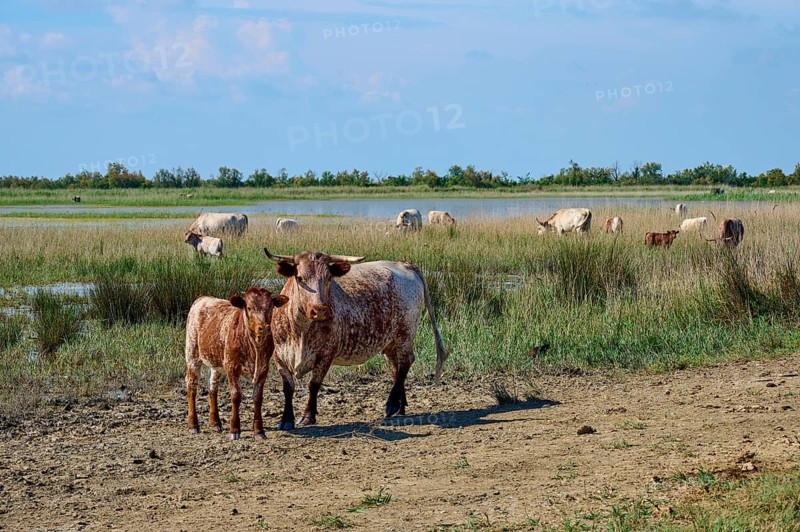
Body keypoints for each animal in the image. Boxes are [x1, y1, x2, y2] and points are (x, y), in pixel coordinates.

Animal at [185, 288, 289, 440]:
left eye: (270, 307)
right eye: (249, 308)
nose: (264, 328)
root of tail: (203, 298)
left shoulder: (263, 369)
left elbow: (258, 398)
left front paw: (259, 431)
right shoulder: (231, 367)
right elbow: (236, 396)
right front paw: (234, 430)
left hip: (216, 361)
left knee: (212, 386)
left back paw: (215, 422)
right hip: (192, 354)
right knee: (192, 385)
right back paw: (193, 425)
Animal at [263, 248, 448, 430]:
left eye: (329, 278)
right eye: (300, 278)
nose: (319, 309)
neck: (300, 329)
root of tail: (404, 264)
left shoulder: (326, 355)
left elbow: (313, 384)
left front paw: (308, 416)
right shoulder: (279, 356)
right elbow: (288, 387)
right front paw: (286, 419)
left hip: (406, 332)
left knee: (405, 362)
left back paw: (392, 404)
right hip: (390, 341)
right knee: (395, 366)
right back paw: (400, 406)